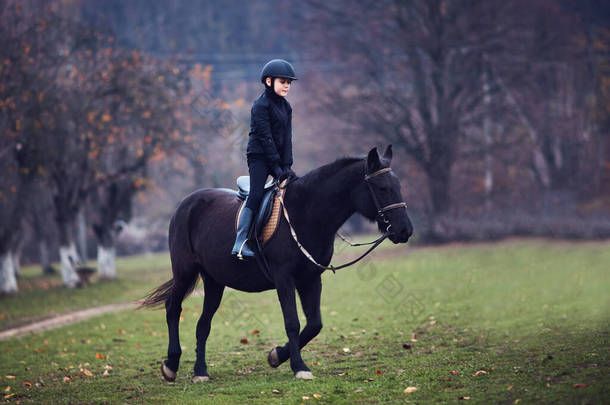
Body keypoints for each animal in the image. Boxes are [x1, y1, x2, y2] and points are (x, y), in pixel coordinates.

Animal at [140, 146, 410, 382]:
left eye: (398, 186)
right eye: (382, 188)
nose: (405, 230)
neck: (306, 213)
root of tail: (186, 204)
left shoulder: (311, 279)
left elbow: (314, 324)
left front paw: (277, 356)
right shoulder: (284, 279)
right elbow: (292, 322)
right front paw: (299, 367)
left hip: (214, 282)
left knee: (202, 325)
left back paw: (200, 372)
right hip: (185, 272)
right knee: (173, 308)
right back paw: (171, 365)